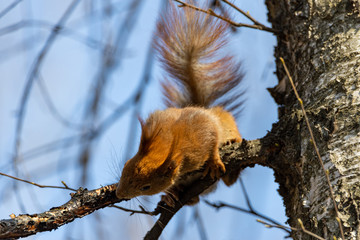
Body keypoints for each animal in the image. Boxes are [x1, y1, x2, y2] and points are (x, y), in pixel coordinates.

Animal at [116, 0, 243, 206]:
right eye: (125, 167)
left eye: (146, 187)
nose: (119, 194)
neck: (171, 142)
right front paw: (170, 193)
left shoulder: (202, 127)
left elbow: (213, 137)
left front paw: (214, 160)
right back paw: (172, 195)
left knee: (231, 178)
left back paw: (233, 141)